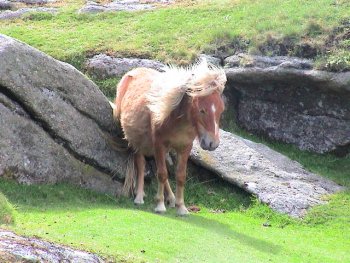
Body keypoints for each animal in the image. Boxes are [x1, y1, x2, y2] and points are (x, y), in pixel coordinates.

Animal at [113, 60, 226, 217]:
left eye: (221, 110)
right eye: (202, 110)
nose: (212, 143)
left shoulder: (184, 148)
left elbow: (179, 176)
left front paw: (181, 207)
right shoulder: (159, 144)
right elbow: (162, 174)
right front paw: (160, 205)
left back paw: (171, 198)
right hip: (137, 141)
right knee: (141, 164)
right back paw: (139, 196)